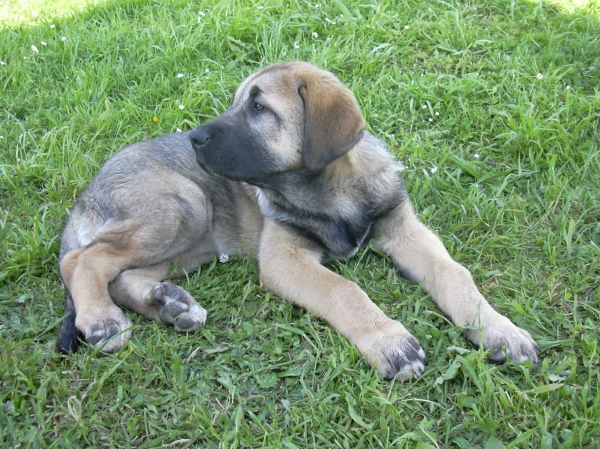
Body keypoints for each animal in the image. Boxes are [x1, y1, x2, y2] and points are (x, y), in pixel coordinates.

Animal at [57, 61, 540, 380]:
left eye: (258, 108)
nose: (194, 138)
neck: (333, 191)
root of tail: (85, 196)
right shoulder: (284, 258)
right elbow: (345, 290)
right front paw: (390, 341)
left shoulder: (403, 228)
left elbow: (455, 275)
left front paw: (499, 330)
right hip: (184, 205)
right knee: (81, 260)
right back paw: (102, 320)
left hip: (196, 238)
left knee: (120, 273)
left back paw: (170, 305)